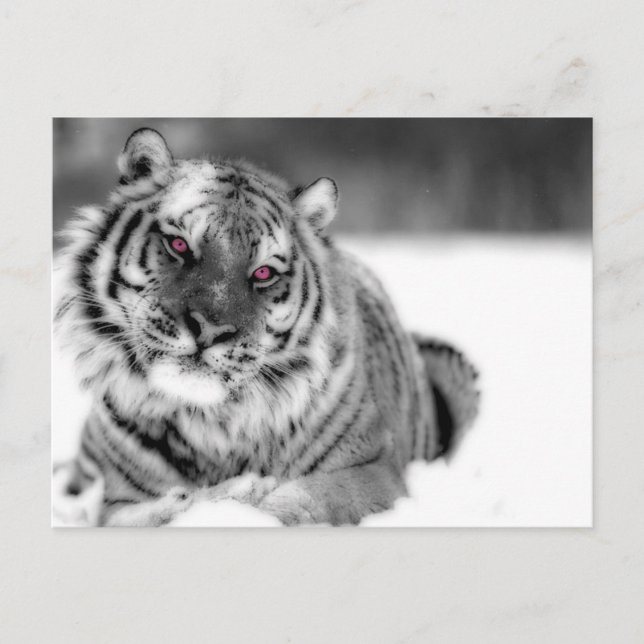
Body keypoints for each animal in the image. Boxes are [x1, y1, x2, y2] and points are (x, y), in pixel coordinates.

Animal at [53, 127, 480, 527]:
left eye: (263, 272)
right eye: (179, 245)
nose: (209, 330)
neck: (210, 426)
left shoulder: (374, 471)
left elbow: (302, 501)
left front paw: (245, 497)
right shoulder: (115, 499)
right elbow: (146, 514)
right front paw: (223, 495)